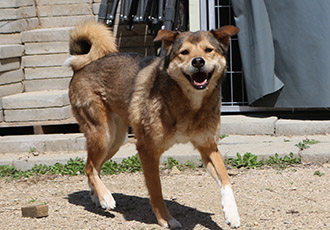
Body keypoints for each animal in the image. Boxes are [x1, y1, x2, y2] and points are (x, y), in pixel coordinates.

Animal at [64, 21, 240, 228]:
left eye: (208, 50)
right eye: (184, 52)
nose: (198, 61)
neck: (189, 103)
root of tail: (83, 65)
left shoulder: (208, 147)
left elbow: (225, 178)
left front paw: (231, 213)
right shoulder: (148, 150)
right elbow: (156, 190)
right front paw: (166, 219)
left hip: (115, 140)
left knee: (94, 166)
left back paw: (98, 196)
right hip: (102, 134)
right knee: (89, 167)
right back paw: (106, 197)